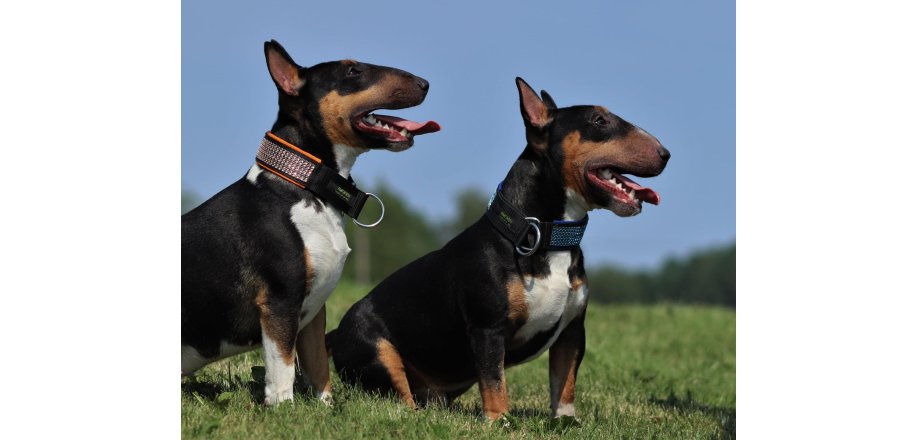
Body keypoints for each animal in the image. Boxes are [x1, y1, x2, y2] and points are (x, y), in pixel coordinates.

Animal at [181, 40, 440, 405]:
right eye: (353, 71)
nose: (424, 83)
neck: (306, 186)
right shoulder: (279, 303)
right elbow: (283, 368)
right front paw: (283, 409)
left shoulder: (314, 311)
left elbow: (319, 367)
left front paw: (325, 409)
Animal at [328, 78, 669, 420]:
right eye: (599, 120)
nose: (665, 154)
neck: (545, 236)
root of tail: (333, 335)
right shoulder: (487, 329)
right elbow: (493, 379)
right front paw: (498, 420)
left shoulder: (573, 332)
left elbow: (565, 381)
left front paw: (566, 421)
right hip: (379, 352)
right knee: (400, 398)